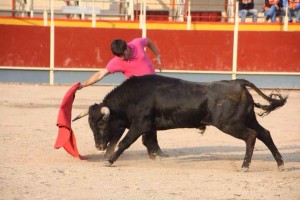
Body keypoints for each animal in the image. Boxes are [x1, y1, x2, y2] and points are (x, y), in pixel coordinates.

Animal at [74, 75, 288, 172]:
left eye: (101, 125)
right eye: (90, 126)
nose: (98, 146)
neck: (132, 97)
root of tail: (239, 83)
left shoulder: (140, 125)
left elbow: (124, 142)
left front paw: (109, 160)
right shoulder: (147, 128)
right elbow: (145, 142)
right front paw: (156, 158)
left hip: (230, 124)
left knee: (251, 136)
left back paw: (245, 166)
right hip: (248, 118)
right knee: (265, 134)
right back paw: (280, 164)